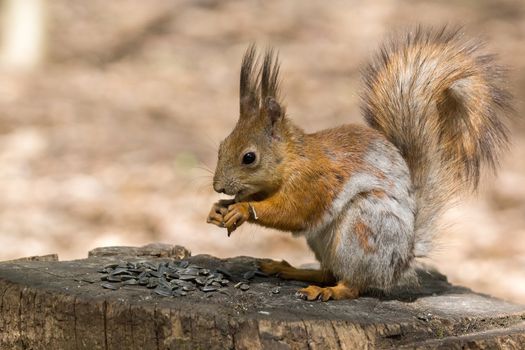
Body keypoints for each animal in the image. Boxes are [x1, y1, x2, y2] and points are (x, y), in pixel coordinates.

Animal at [206, 27, 512, 300]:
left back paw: (328, 291)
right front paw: (220, 208)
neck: (292, 159)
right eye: (221, 146)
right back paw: (290, 270)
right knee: (329, 271)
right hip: (323, 242)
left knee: (354, 283)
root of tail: (402, 260)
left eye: (249, 157)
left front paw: (242, 209)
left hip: (362, 228)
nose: (218, 187)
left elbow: (294, 211)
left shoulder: (313, 181)